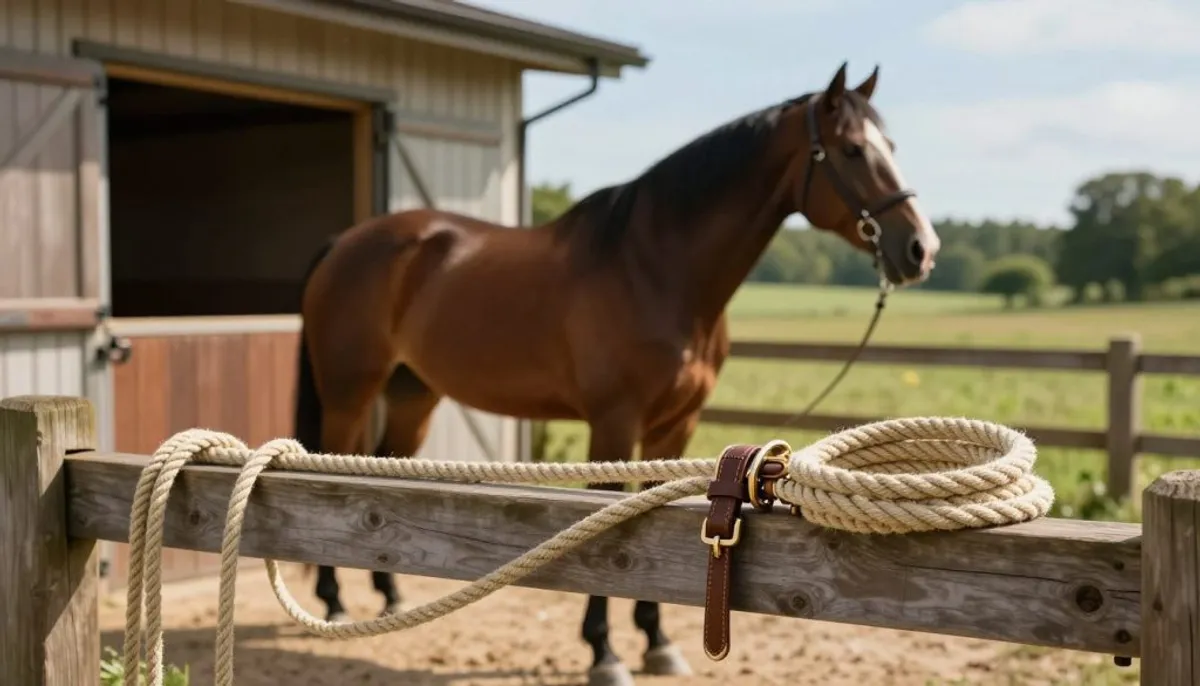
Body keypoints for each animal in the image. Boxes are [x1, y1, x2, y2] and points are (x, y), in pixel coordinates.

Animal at [292, 61, 940, 686]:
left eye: (891, 144)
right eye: (852, 149)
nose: (920, 249)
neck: (655, 269)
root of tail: (345, 242)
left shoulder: (674, 426)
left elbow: (660, 512)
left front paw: (656, 644)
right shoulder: (614, 422)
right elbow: (607, 516)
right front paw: (603, 652)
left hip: (413, 395)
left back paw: (388, 596)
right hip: (350, 393)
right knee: (321, 471)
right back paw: (333, 600)